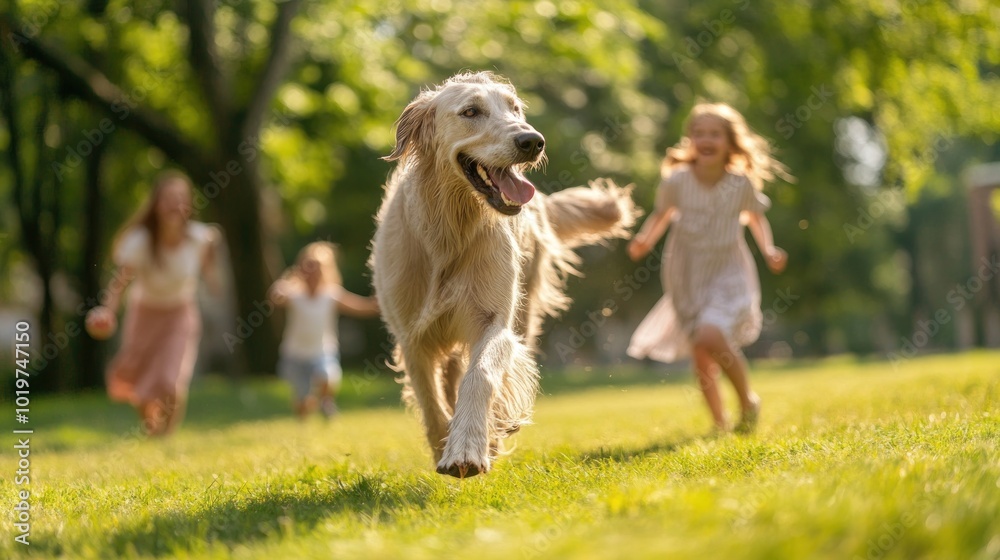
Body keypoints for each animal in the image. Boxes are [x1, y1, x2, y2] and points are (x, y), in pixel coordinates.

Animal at [372, 72, 636, 480]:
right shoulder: (411, 335)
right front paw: (443, 442)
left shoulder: (493, 319)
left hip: (525, 306)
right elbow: (430, 401)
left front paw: (469, 445)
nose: (532, 141)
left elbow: (481, 374)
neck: (451, 228)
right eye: (471, 111)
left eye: (514, 109)